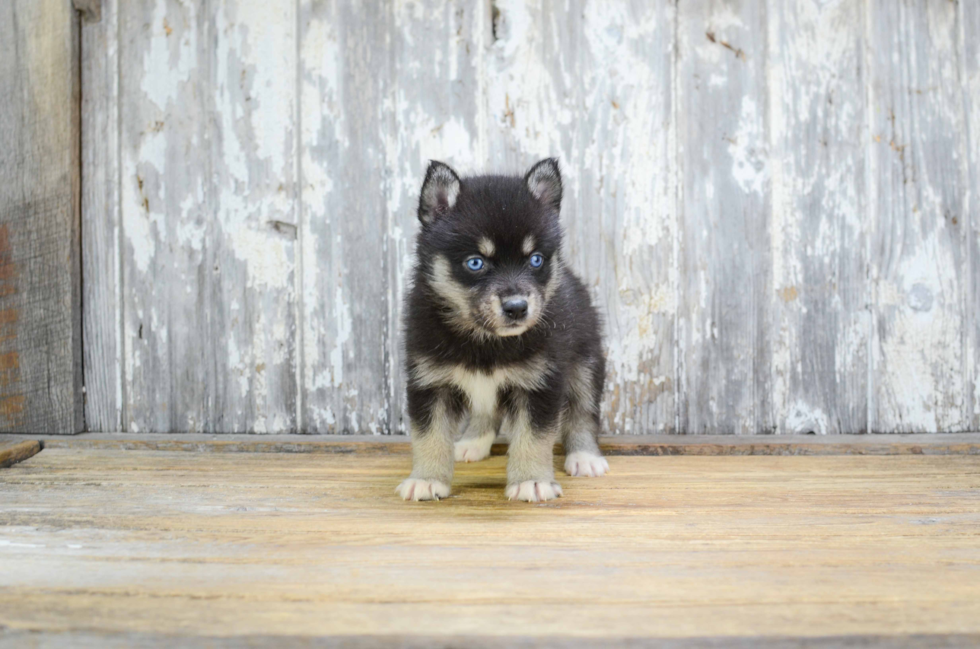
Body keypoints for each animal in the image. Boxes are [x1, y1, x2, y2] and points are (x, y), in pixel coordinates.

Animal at [396, 157, 608, 502]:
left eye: (535, 260)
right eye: (475, 263)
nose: (517, 307)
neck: (486, 341)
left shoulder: (541, 382)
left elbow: (534, 438)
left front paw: (531, 481)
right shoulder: (430, 382)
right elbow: (429, 436)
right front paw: (426, 479)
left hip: (586, 362)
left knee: (583, 411)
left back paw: (585, 456)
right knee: (486, 411)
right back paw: (473, 442)